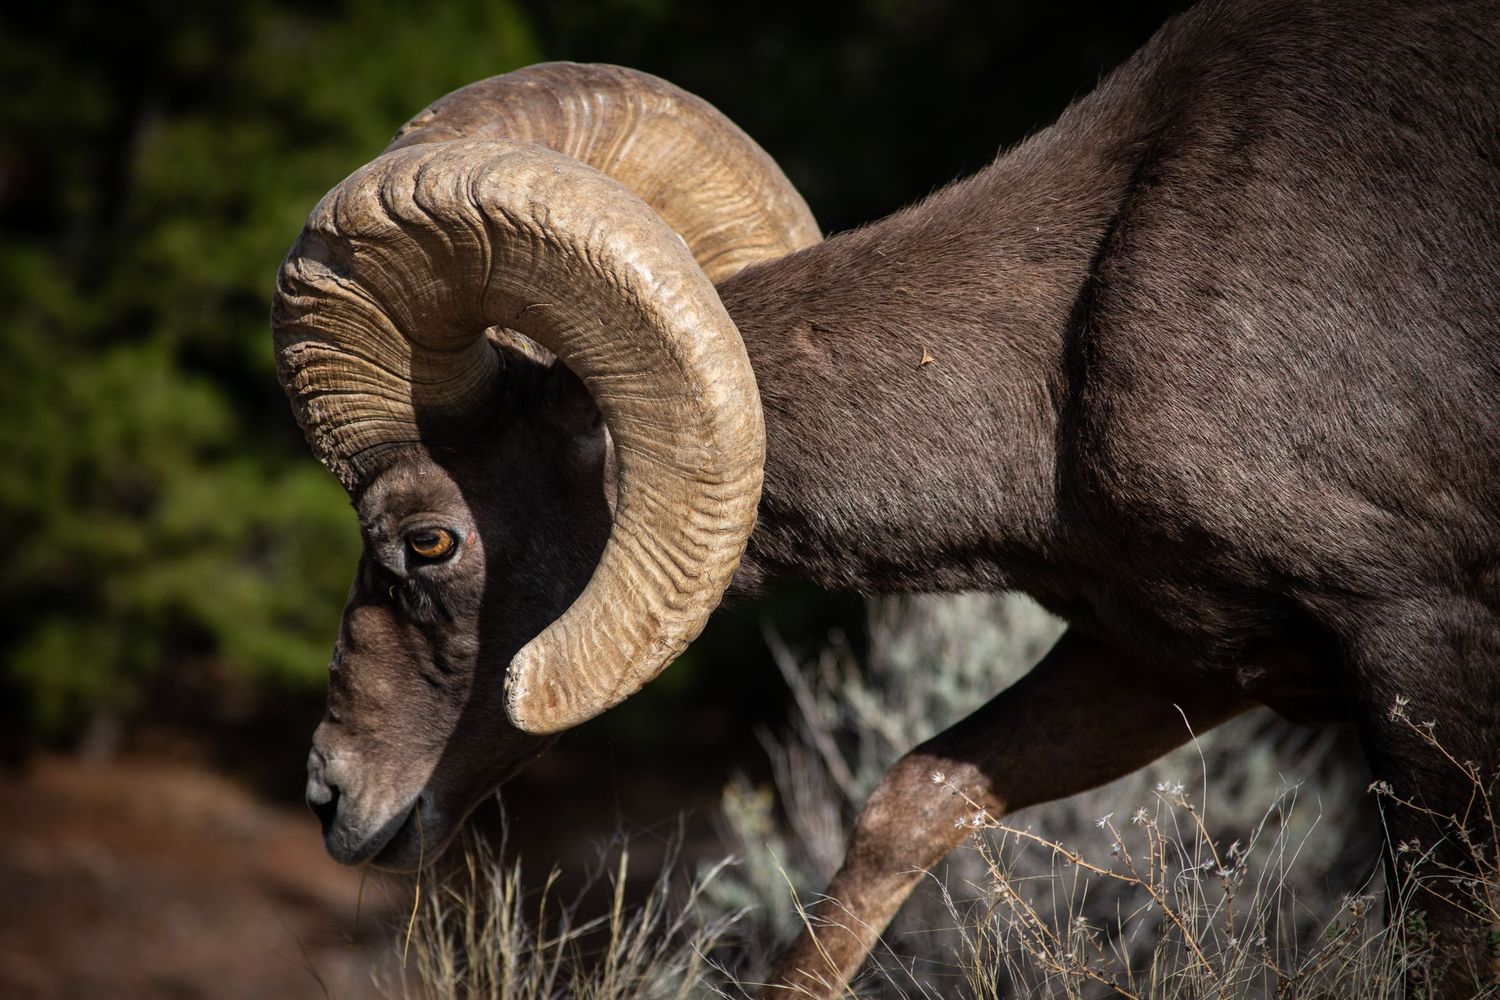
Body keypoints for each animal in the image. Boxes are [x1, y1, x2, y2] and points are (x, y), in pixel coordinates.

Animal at [274, 0, 1500, 994]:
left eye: (428, 540)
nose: (332, 797)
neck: (1069, 352)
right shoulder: (1170, 663)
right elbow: (908, 807)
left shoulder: (1418, 644)